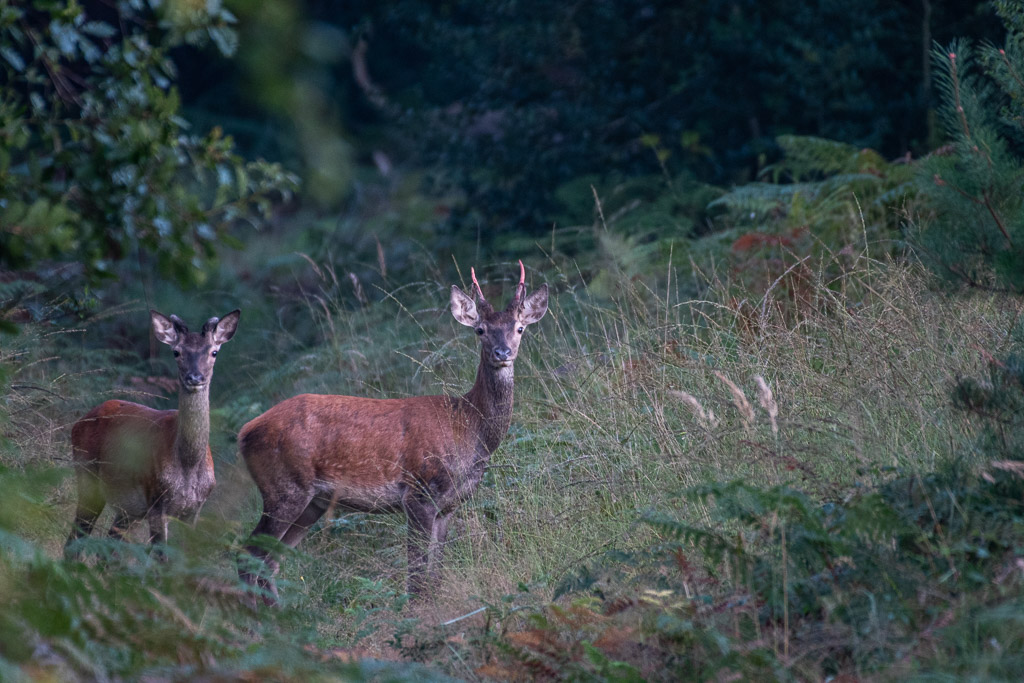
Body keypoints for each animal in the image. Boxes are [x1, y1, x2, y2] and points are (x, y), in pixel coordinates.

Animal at [65, 309, 240, 553]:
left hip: (128, 508)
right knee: (75, 538)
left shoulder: (194, 509)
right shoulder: (157, 501)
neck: (188, 465)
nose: (195, 377)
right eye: (176, 352)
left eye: (214, 351)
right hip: (88, 477)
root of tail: (79, 421)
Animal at [237, 262, 548, 603]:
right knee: (249, 555)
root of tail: (245, 432)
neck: (468, 427)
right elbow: (416, 575)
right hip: (284, 488)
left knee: (269, 562)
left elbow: (436, 573)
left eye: (519, 328)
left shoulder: (448, 506)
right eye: (480, 330)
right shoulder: (419, 492)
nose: (502, 352)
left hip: (311, 503)